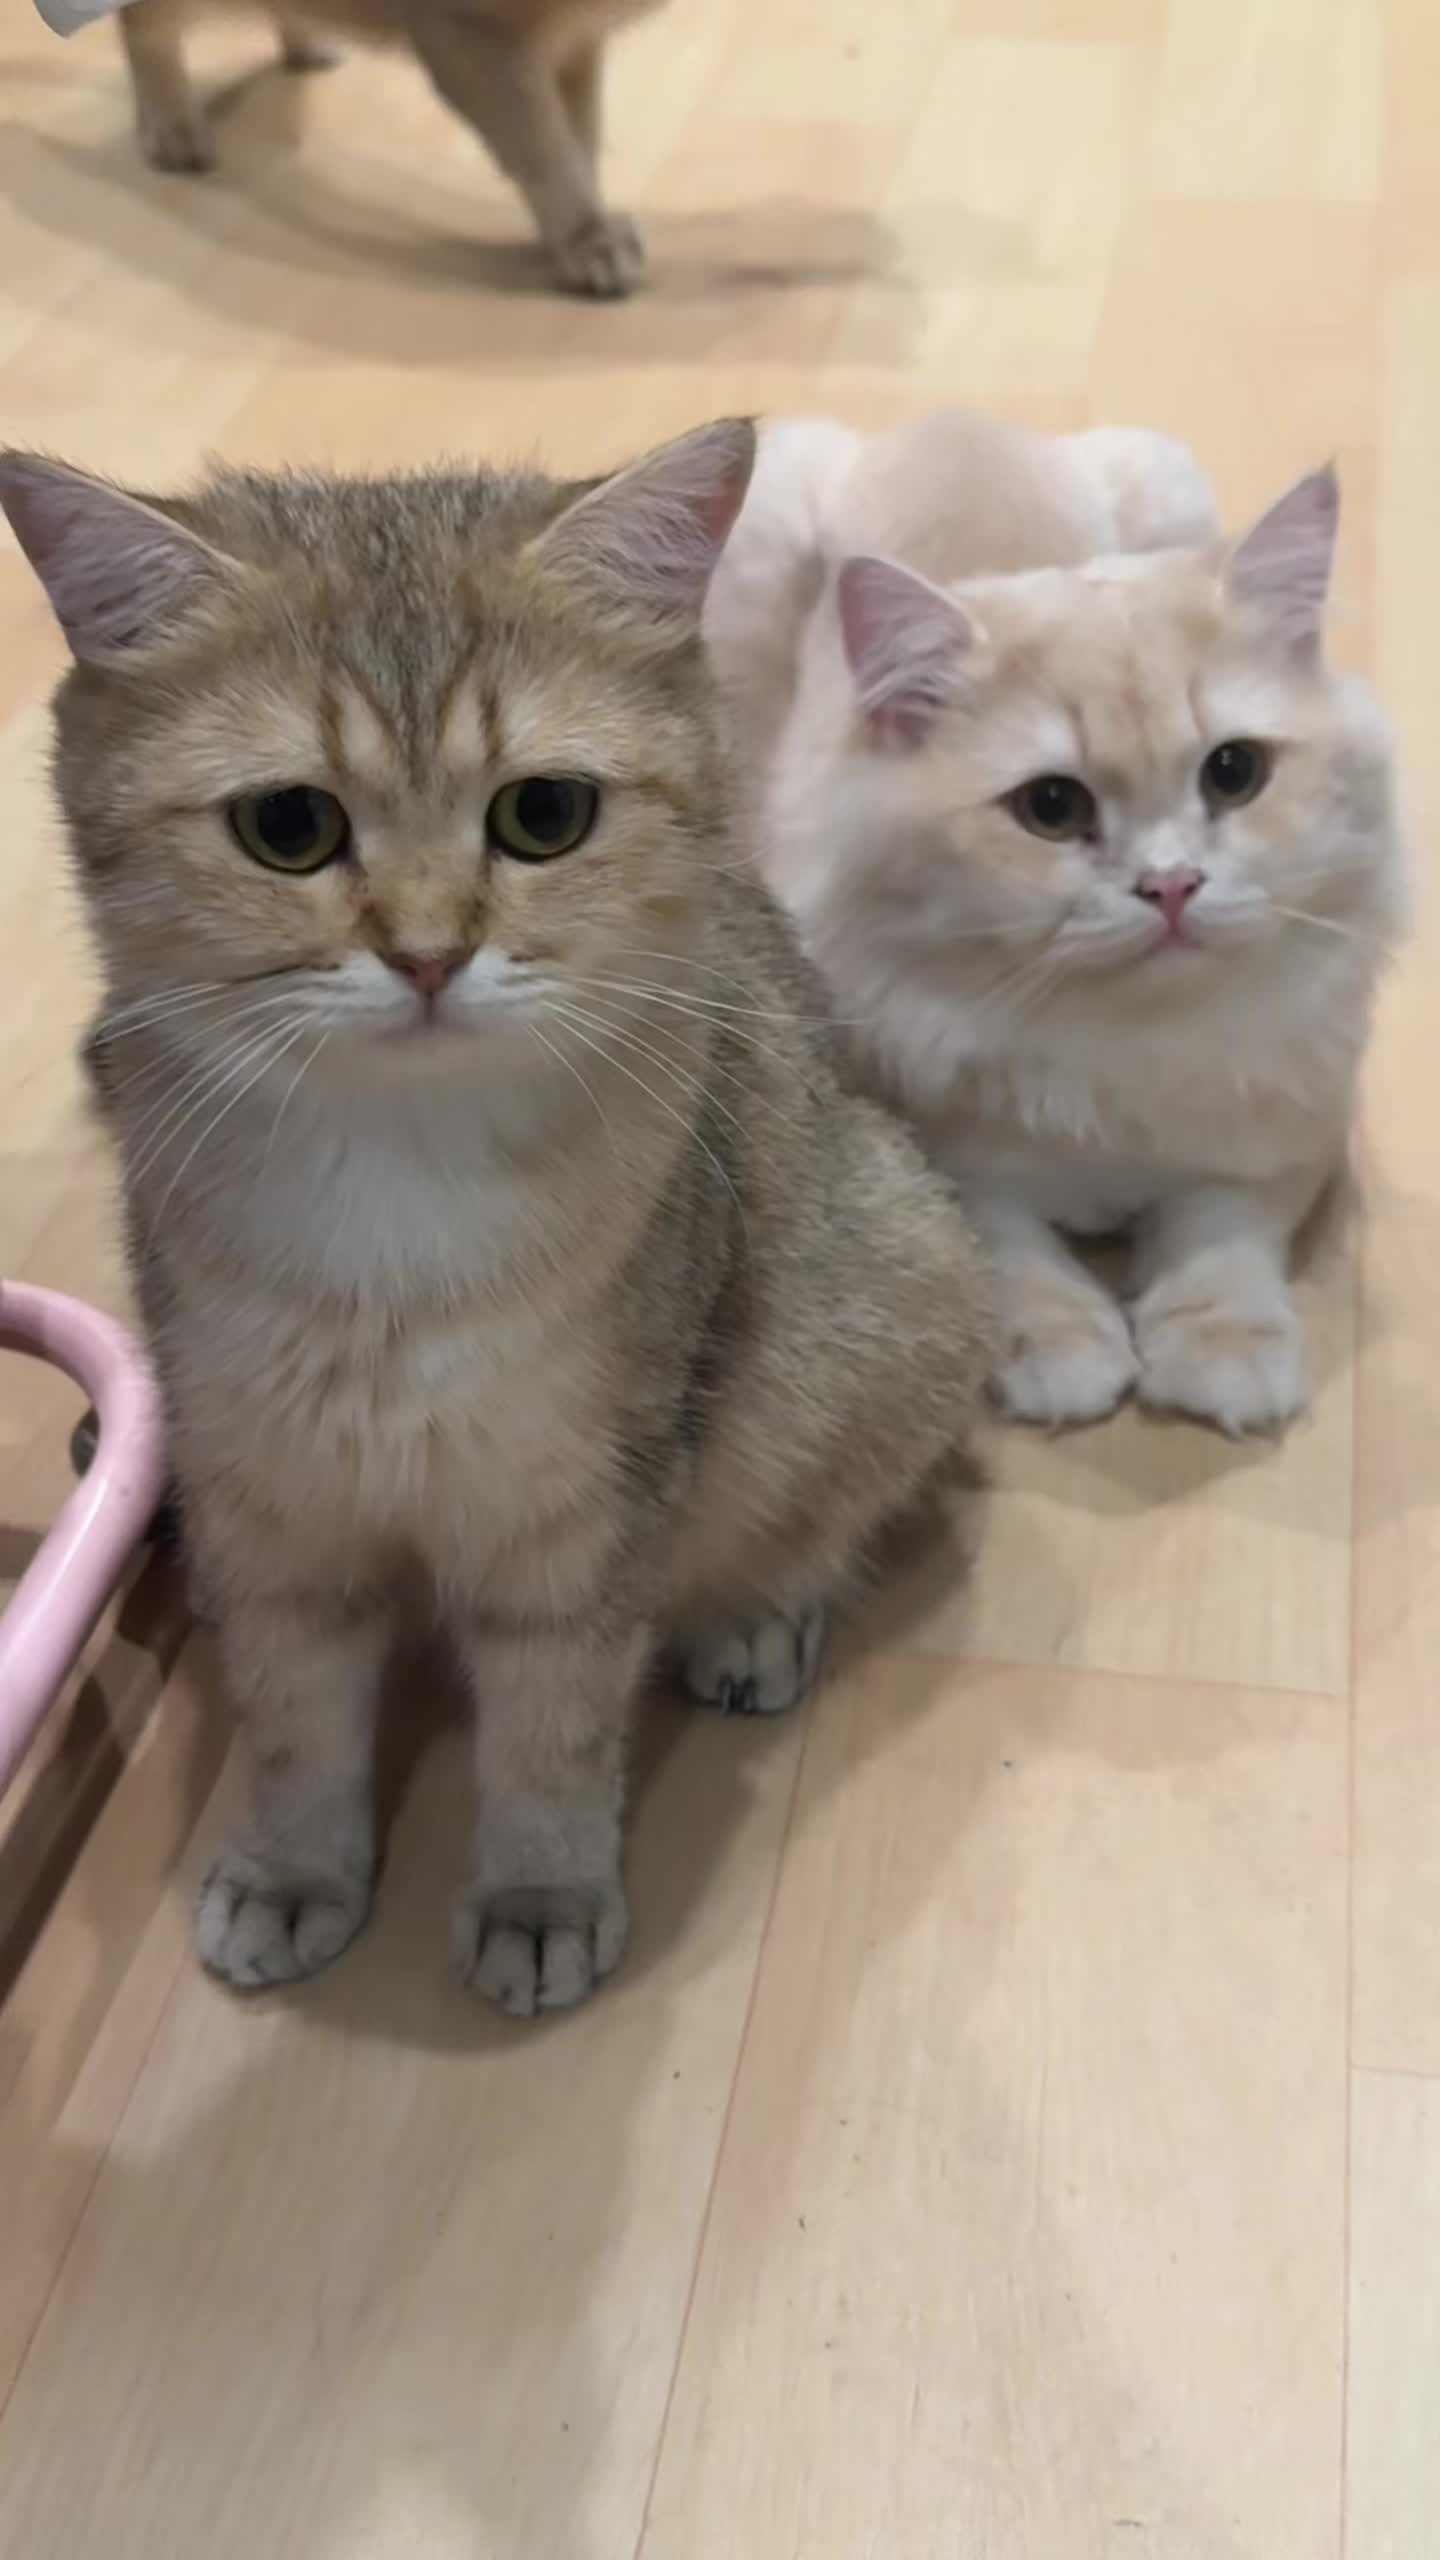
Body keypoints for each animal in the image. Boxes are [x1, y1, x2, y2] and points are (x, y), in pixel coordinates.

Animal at [0, 419, 991, 2014]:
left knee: (822, 1512)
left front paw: (540, 1893)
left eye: (544, 814)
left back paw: (756, 1616)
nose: (425, 955)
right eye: (290, 827)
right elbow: (293, 1712)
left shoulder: (581, 1513)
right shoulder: (267, 1497)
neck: (393, 1196)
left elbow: (551, 1725)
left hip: (893, 1296)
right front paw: (297, 1868)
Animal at [112, 0, 659, 296]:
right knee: (144, 28)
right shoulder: (472, 42)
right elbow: (547, 152)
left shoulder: (571, 45)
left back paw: (308, 45)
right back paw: (172, 125)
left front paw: (575, 234)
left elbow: (579, 142)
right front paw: (586, 239)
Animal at [705, 408, 1408, 1438]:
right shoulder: (938, 1150)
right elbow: (1012, 1248)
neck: (1121, 1047)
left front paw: (1221, 1350)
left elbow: (1220, 1238)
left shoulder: (1280, 1134)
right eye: (1050, 807)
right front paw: (1061, 1350)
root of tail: (952, 420)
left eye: (1234, 773)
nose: (1171, 886)